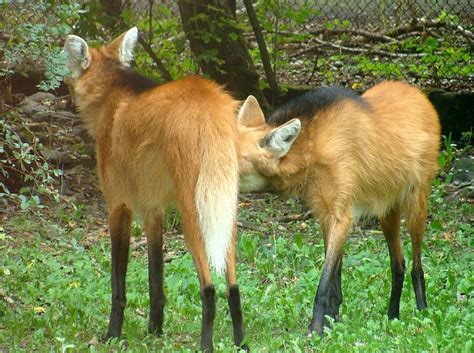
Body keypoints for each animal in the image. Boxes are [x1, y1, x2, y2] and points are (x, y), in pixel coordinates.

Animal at [64, 26, 248, 350]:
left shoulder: (119, 204)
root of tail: (208, 101)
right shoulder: (153, 208)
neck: (111, 94)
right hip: (224, 205)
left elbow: (118, 280)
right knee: (233, 282)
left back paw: (206, 344)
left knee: (209, 286)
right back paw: (241, 342)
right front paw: (155, 330)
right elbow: (156, 276)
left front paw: (113, 334)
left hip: (193, 211)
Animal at [237, 82, 440, 336]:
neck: (314, 146)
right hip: (386, 211)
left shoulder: (341, 217)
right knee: (398, 264)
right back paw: (392, 315)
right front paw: (331, 321)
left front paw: (316, 328)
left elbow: (324, 281)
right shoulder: (325, 214)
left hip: (415, 204)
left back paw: (423, 312)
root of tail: (418, 94)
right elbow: (335, 278)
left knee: (416, 265)